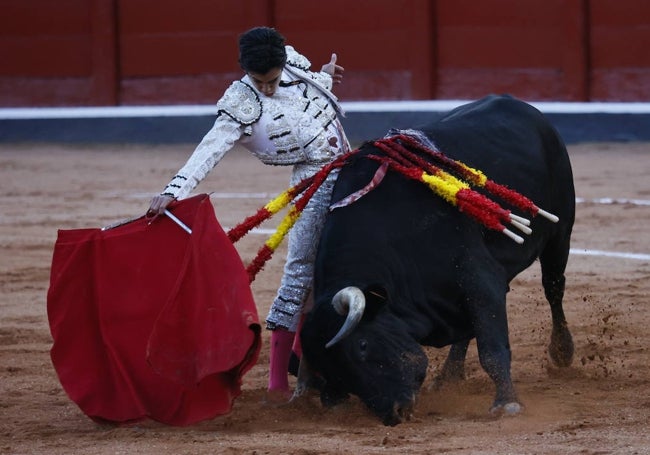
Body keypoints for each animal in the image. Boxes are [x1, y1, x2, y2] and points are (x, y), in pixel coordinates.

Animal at [296, 95, 576, 428]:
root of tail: (520, 105)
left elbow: (492, 349)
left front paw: (507, 403)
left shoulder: (479, 278)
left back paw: (562, 352)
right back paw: (449, 376)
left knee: (554, 287)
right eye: (336, 373)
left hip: (560, 232)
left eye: (362, 346)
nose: (394, 412)